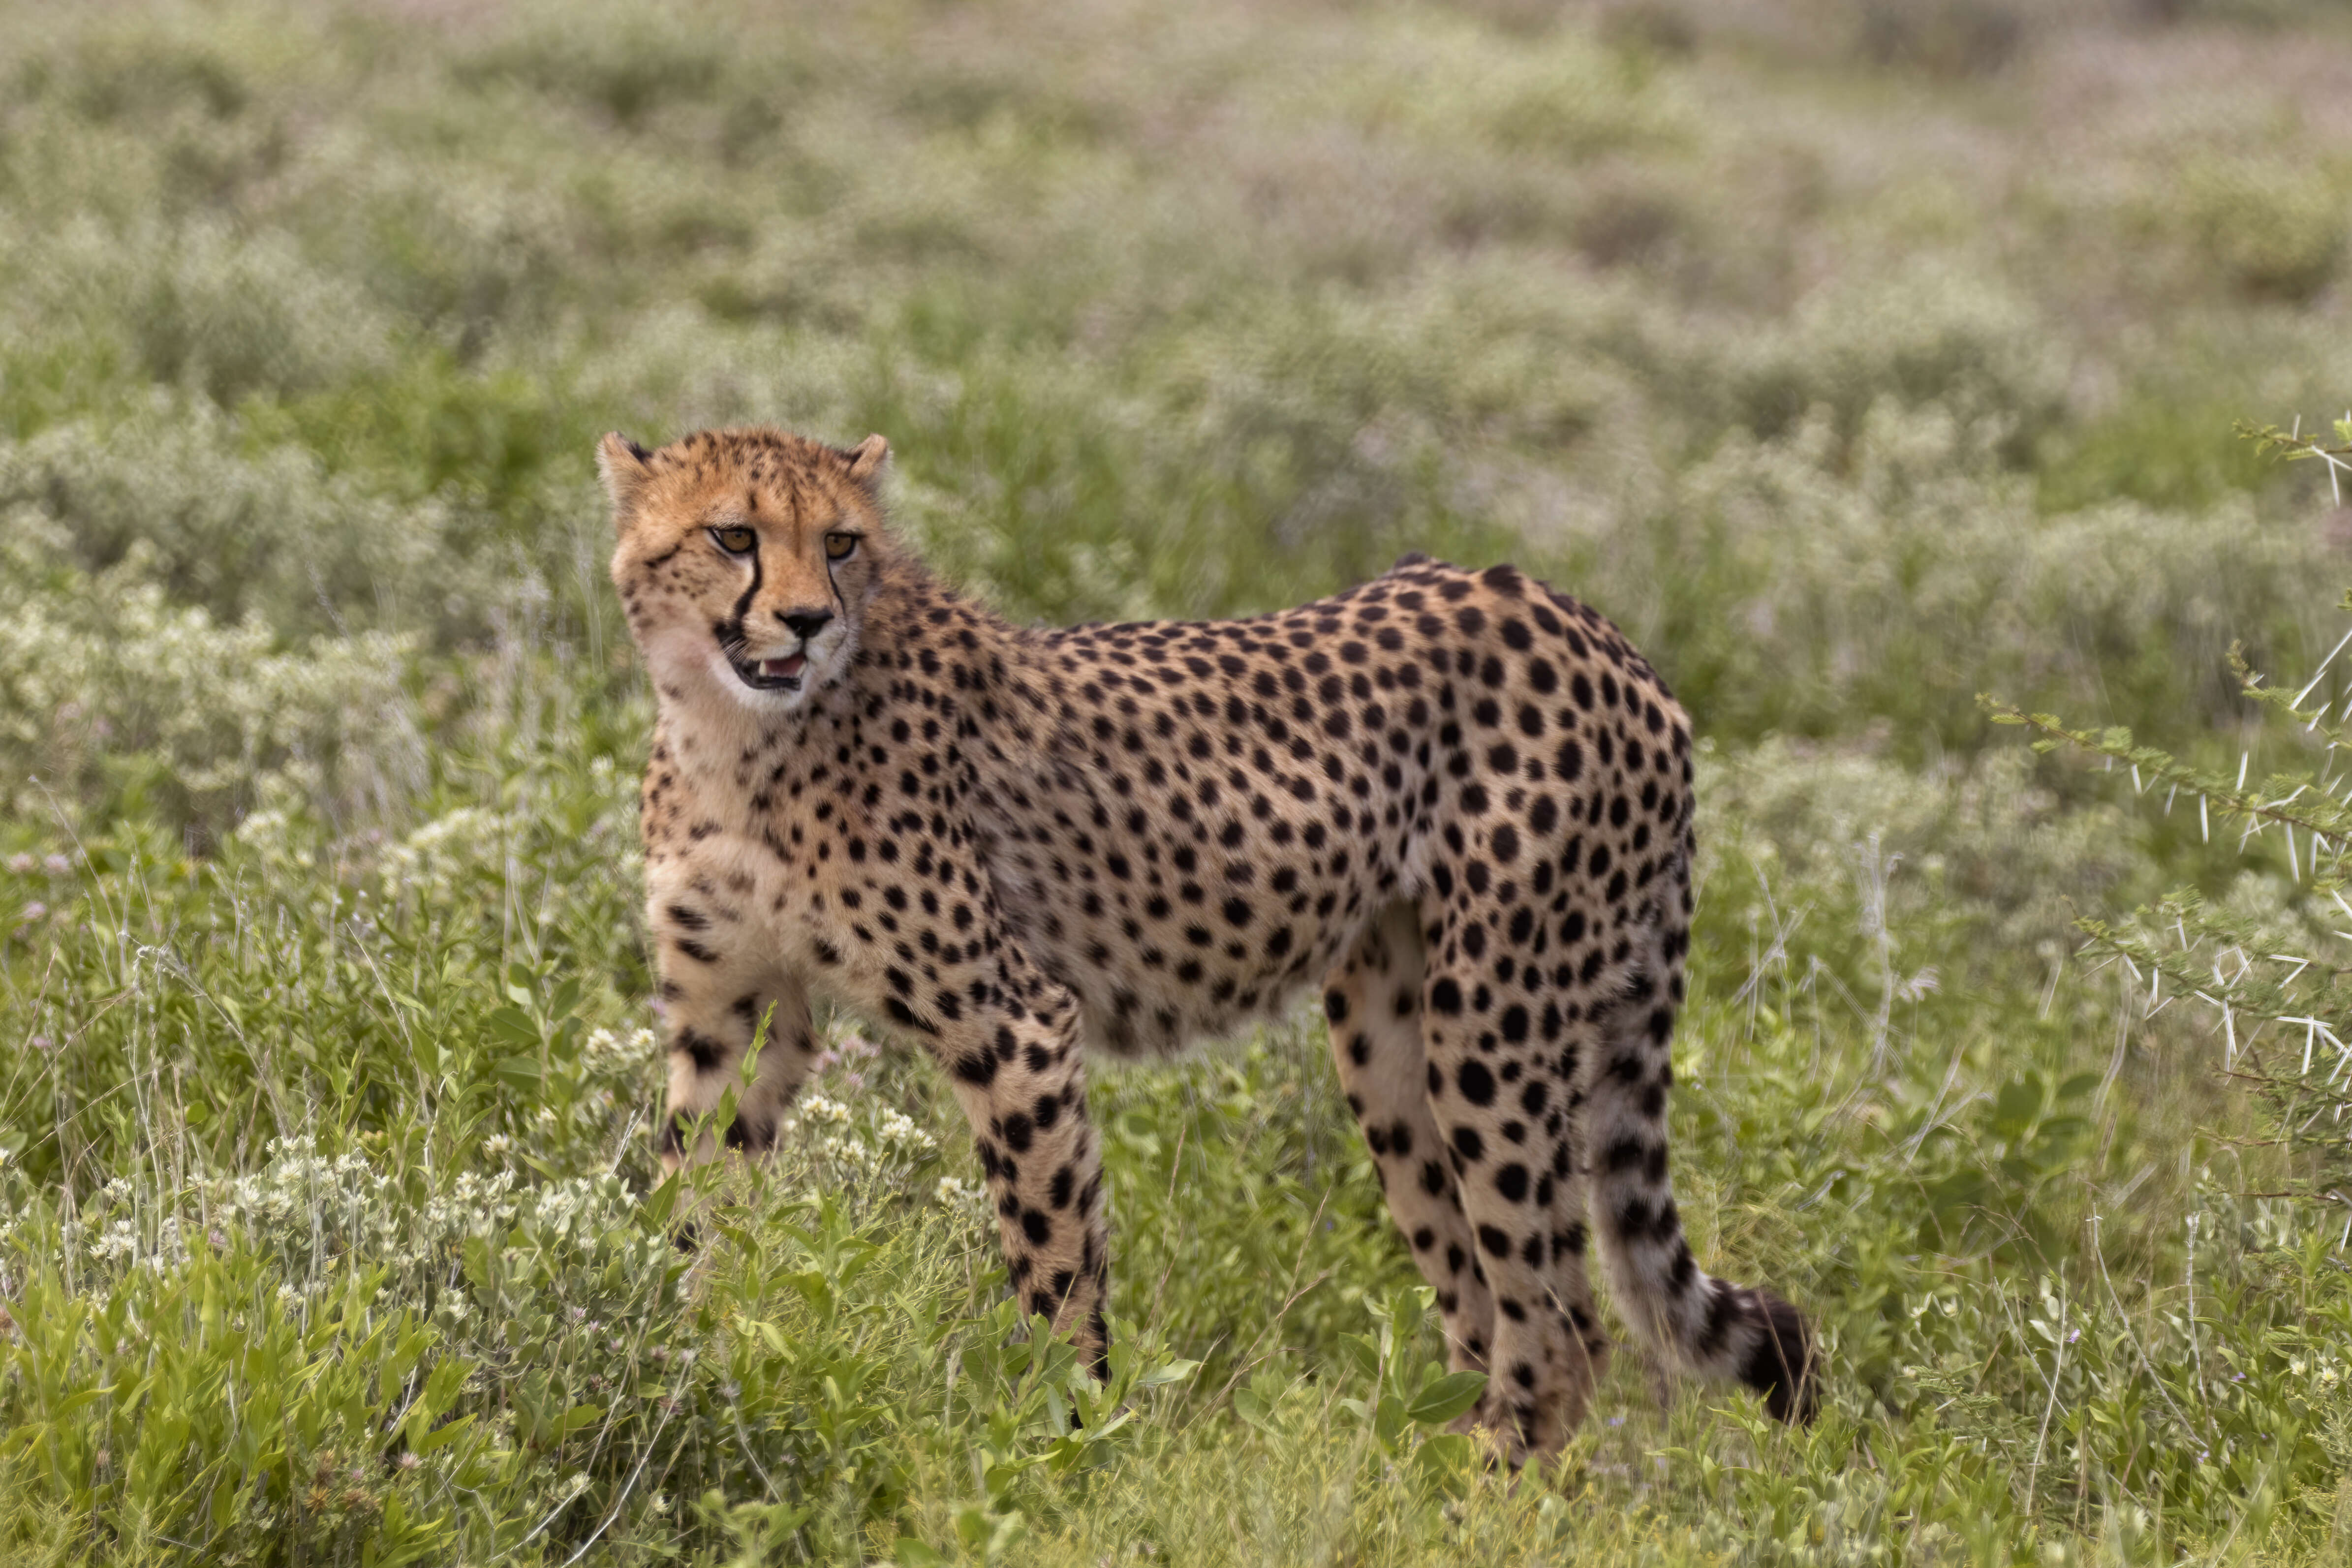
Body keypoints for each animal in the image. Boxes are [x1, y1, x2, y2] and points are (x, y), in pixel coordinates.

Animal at [602, 421, 1816, 1457]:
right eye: (734, 535)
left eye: (842, 544)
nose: (807, 621)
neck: (734, 732)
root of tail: (1598, 629)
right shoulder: (731, 1017)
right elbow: (689, 1207)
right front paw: (671, 1367)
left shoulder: (1016, 1024)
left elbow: (1052, 1263)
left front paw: (1065, 1448)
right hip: (1391, 1050)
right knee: (1488, 1308)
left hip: (1495, 1026)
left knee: (1563, 1328)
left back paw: (1479, 1500)